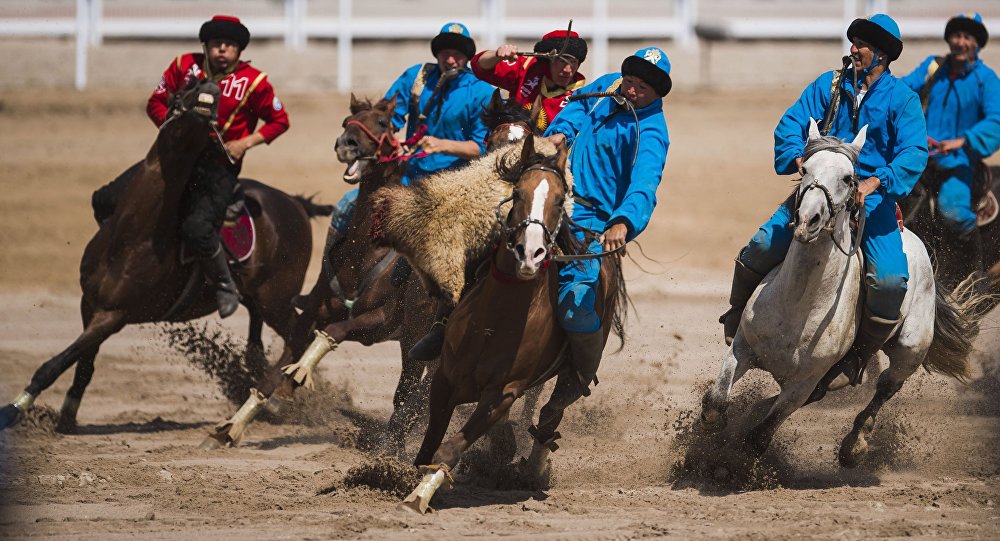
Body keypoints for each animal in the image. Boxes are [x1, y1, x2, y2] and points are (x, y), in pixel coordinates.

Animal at [0, 80, 324, 432]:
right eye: (185, 88)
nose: (209, 87)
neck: (132, 236)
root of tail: (294, 203)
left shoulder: (113, 315)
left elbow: (55, 363)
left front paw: (12, 410)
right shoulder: (90, 304)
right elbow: (83, 365)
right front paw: (67, 417)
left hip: (277, 300)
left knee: (299, 334)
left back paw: (282, 394)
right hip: (259, 300)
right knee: (258, 345)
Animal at [201, 96, 436, 452]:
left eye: (384, 123)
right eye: (347, 122)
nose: (347, 144)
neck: (365, 254)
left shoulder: (378, 322)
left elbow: (334, 332)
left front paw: (297, 376)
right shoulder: (310, 313)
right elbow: (273, 371)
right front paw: (231, 427)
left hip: (416, 338)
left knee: (413, 391)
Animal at [396, 135, 624, 510]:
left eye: (560, 200)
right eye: (517, 193)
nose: (529, 254)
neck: (494, 322)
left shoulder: (503, 393)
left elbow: (449, 451)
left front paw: (418, 496)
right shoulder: (444, 378)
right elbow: (428, 448)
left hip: (571, 377)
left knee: (550, 416)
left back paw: (533, 470)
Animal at [704, 120, 984, 466]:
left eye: (849, 178)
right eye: (805, 168)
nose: (807, 220)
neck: (798, 304)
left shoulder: (802, 384)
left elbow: (759, 437)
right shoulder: (742, 347)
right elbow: (716, 404)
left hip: (910, 349)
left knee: (887, 386)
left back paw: (855, 444)